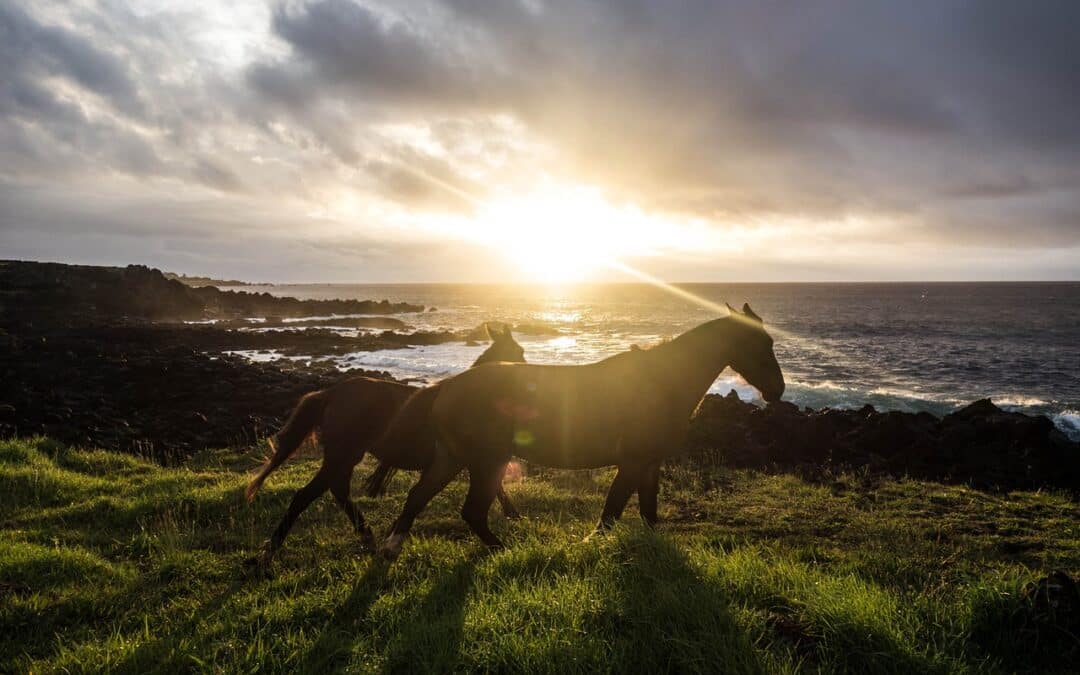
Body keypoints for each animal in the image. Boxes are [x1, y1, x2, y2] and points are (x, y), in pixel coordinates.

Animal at [246, 321, 531, 561]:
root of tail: (330, 393)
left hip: (346, 456)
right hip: (343, 453)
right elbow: (492, 488)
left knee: (337, 490)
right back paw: (272, 548)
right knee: (307, 495)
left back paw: (366, 534)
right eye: (519, 351)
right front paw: (513, 514)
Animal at [375, 302, 781, 557]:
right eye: (760, 342)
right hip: (487, 461)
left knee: (418, 497)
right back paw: (503, 551)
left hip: (452, 457)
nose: (777, 391)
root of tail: (447, 386)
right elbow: (611, 513)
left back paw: (392, 548)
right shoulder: (632, 462)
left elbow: (648, 513)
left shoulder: (650, 463)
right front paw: (588, 547)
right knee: (471, 510)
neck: (661, 381)